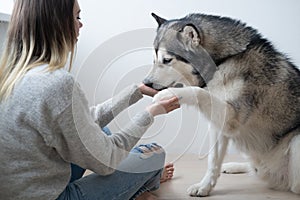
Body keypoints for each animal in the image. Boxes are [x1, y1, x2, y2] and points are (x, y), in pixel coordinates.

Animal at [143, 12, 300, 197]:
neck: (222, 61)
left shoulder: (230, 117)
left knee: (294, 185)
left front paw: (169, 94)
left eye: (167, 60)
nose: (145, 83)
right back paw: (235, 166)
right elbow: (213, 160)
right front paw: (204, 187)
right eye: (154, 60)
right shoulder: (219, 124)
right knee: (255, 169)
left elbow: (199, 92)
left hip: (296, 141)